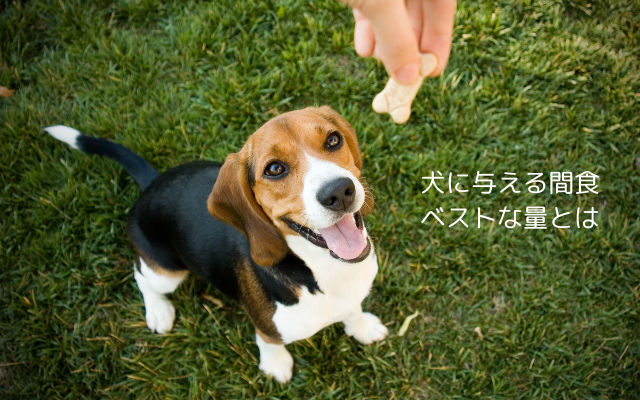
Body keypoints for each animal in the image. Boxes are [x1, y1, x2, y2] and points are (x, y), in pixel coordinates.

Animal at [45, 107, 388, 384]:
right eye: (275, 169)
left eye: (333, 140)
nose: (338, 191)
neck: (323, 269)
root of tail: (152, 183)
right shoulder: (267, 328)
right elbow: (270, 343)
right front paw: (276, 365)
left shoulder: (352, 294)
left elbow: (354, 310)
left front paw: (361, 327)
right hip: (167, 274)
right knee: (140, 274)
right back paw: (158, 310)